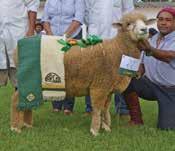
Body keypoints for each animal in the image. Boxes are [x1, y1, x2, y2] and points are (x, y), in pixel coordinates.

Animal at [10, 12, 154, 136]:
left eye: (145, 22)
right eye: (128, 24)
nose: (145, 30)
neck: (117, 49)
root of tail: (18, 45)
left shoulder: (108, 88)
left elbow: (105, 109)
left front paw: (106, 127)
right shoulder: (99, 86)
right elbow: (97, 108)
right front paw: (95, 130)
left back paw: (27, 124)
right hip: (28, 80)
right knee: (16, 99)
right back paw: (15, 127)